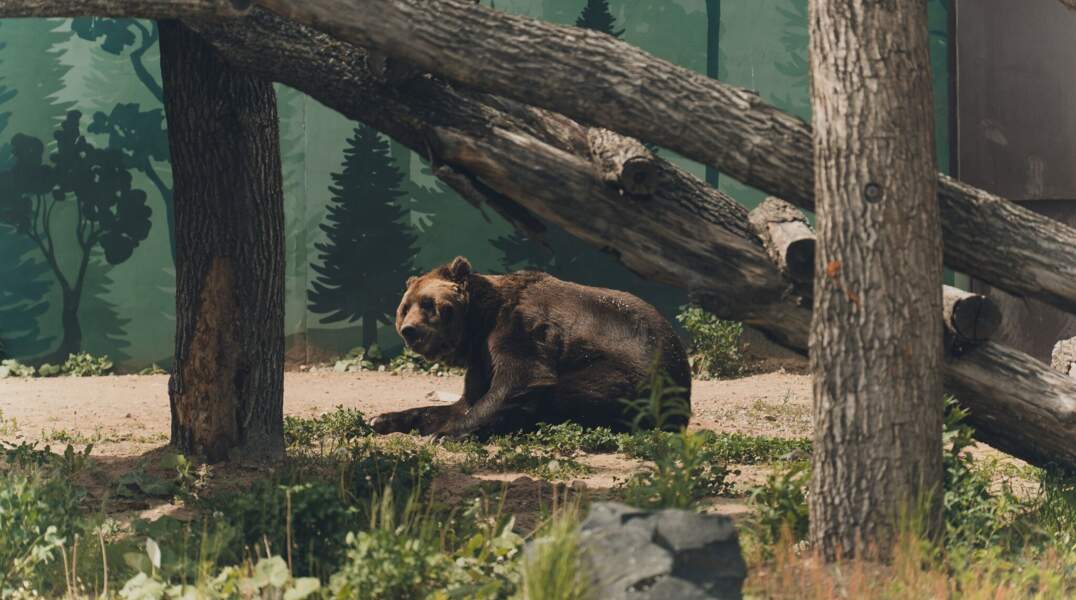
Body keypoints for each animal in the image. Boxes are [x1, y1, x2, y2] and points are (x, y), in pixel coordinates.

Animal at [370, 256, 692, 438]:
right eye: (404, 308)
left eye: (428, 304)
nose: (410, 331)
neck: (480, 323)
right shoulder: (481, 358)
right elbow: (462, 402)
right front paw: (382, 419)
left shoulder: (521, 328)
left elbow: (520, 379)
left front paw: (446, 433)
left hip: (630, 375)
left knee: (567, 392)